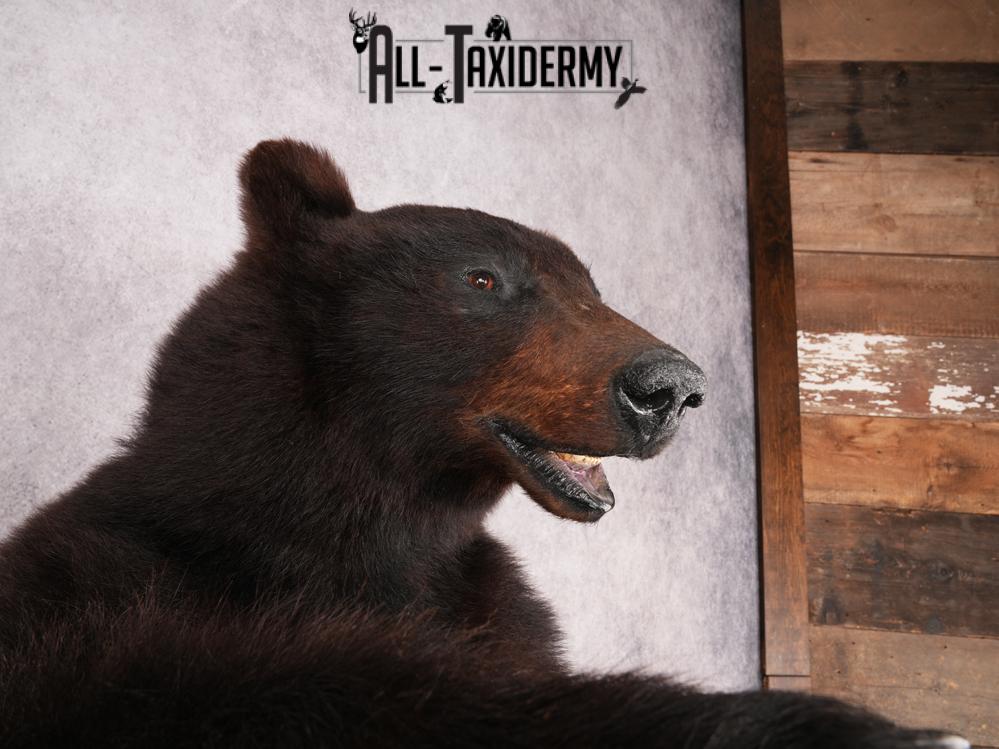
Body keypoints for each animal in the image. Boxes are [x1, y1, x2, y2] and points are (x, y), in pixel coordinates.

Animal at [0, 139, 967, 748]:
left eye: (590, 287)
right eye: (483, 279)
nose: (670, 387)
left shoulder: (487, 604)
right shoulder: (104, 596)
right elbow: (282, 683)